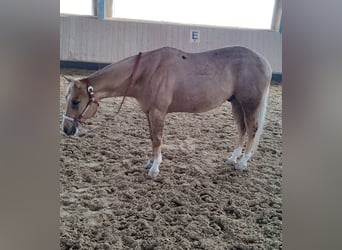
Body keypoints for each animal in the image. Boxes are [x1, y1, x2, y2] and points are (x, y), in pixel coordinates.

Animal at [60, 46, 270, 177]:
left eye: (76, 102)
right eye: (67, 99)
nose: (66, 129)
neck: (147, 71)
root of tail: (264, 62)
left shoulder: (158, 112)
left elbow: (158, 139)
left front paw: (154, 168)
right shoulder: (149, 112)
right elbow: (152, 137)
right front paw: (150, 162)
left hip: (249, 104)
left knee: (251, 129)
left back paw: (242, 163)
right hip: (236, 103)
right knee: (242, 129)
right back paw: (232, 159)